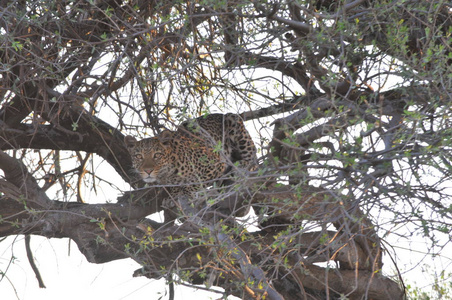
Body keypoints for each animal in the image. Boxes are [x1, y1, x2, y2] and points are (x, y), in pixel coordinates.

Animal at [123, 113, 258, 191]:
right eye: (138, 156)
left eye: (157, 155)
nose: (148, 171)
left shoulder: (216, 164)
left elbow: (196, 182)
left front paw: (188, 192)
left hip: (233, 121)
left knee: (252, 155)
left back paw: (243, 165)